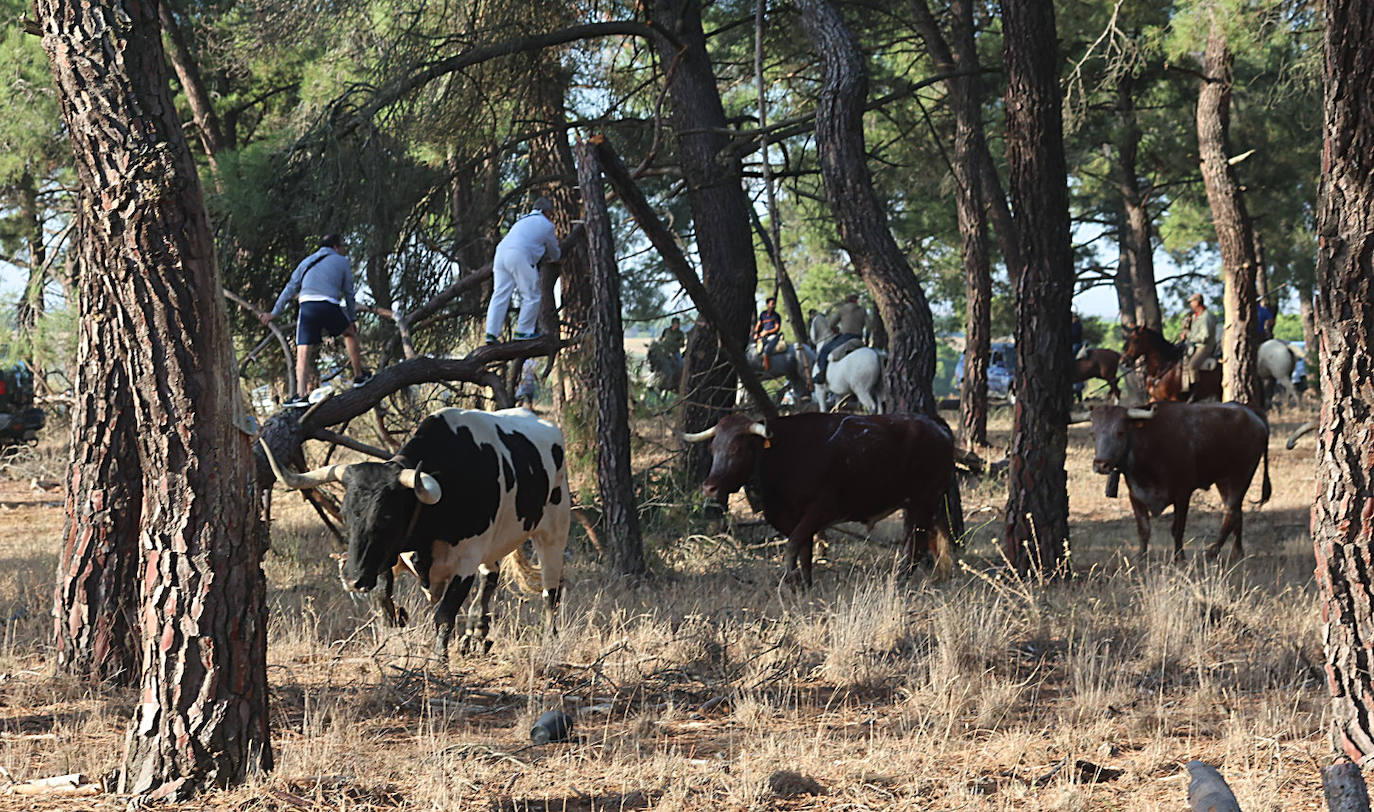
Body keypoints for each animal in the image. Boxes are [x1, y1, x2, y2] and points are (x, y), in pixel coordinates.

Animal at [262, 406, 568, 659]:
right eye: (346, 514)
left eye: (386, 516)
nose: (352, 579)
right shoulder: (389, 556)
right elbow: (382, 599)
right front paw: (397, 620)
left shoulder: (465, 561)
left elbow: (444, 614)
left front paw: (439, 659)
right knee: (490, 576)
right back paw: (476, 632)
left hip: (553, 531)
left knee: (550, 592)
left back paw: (550, 639)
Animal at [687, 412, 956, 585]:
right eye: (713, 449)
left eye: (737, 449)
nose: (709, 488)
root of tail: (935, 423)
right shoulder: (793, 515)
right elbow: (804, 550)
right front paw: (804, 584)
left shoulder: (821, 509)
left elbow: (793, 544)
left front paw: (791, 579)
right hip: (924, 505)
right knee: (931, 540)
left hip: (923, 501)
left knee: (916, 544)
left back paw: (901, 581)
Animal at [1088, 403, 1269, 563]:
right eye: (1093, 434)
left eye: (1120, 432)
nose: (1101, 464)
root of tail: (1251, 413)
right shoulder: (1135, 495)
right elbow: (1143, 529)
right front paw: (1141, 557)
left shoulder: (1182, 494)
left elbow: (1177, 529)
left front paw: (1179, 558)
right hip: (1223, 480)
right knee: (1237, 513)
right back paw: (1237, 553)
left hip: (1240, 477)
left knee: (1231, 512)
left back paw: (1211, 552)